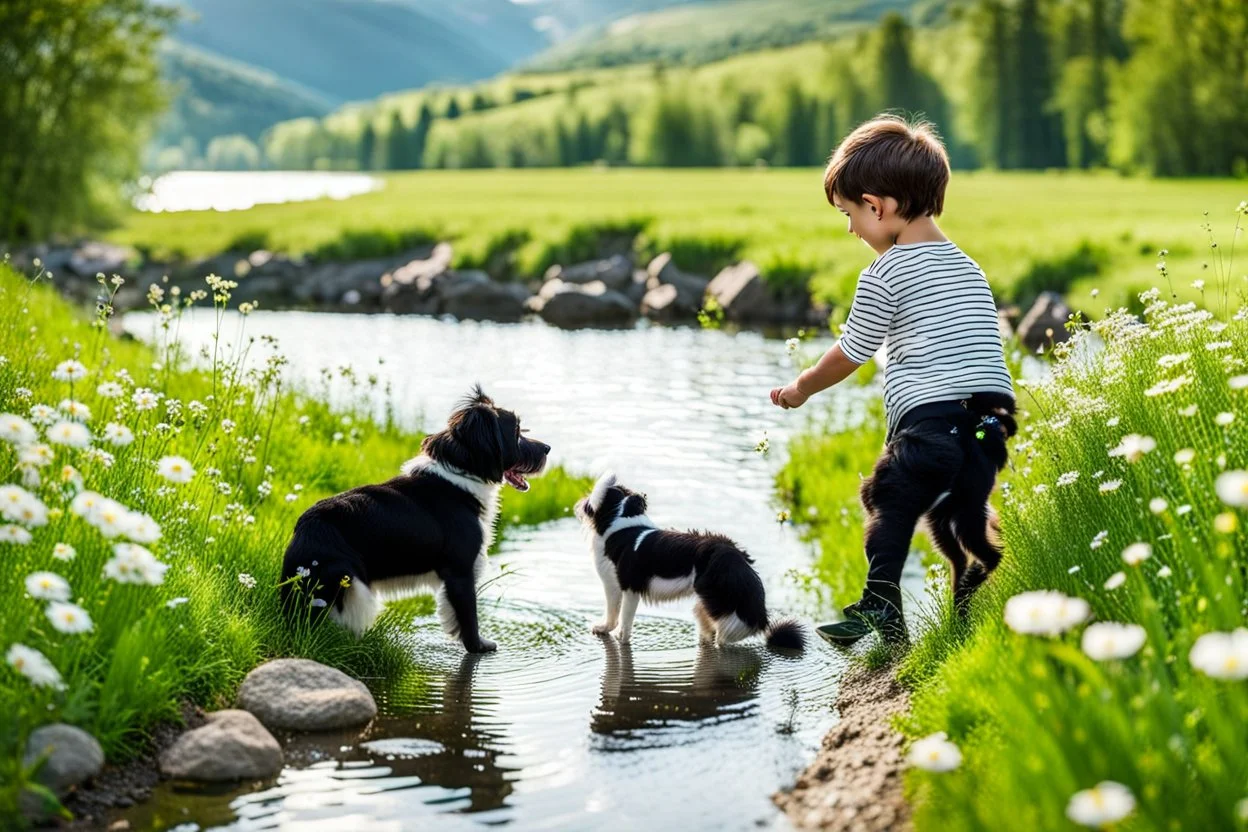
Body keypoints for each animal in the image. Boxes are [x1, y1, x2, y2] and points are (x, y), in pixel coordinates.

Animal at [283, 386, 546, 653]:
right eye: (516, 431)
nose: (547, 448)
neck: (460, 477)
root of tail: (304, 529)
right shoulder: (460, 571)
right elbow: (469, 617)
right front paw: (479, 646)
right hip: (350, 584)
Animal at [571, 474, 803, 648]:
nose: (580, 504)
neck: (622, 518)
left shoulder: (623, 586)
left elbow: (617, 616)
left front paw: (614, 634)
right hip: (705, 602)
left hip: (713, 598)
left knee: (727, 633)